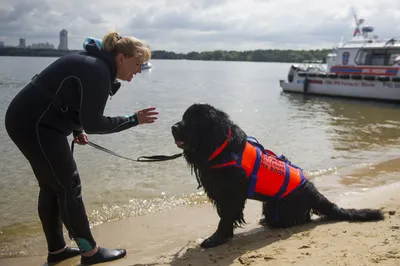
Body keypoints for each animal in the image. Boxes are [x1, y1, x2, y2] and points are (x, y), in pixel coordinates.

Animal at [171, 103, 384, 248]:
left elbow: (226, 216)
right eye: (183, 118)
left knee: (303, 218)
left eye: (193, 121)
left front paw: (216, 239)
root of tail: (313, 191)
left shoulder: (232, 193)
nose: (173, 127)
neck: (220, 146)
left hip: (280, 206)